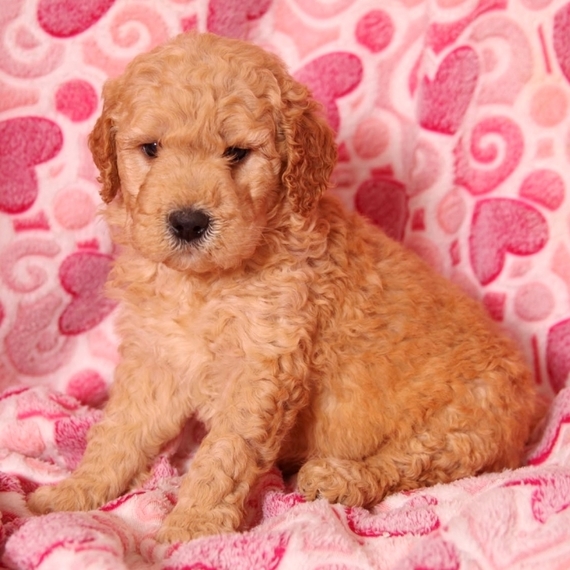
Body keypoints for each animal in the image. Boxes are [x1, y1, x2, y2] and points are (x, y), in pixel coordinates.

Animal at [28, 31, 540, 540]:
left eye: (237, 153)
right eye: (151, 148)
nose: (188, 222)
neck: (206, 282)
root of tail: (532, 396)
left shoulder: (262, 367)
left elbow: (225, 454)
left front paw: (193, 525)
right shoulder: (158, 357)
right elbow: (120, 432)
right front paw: (74, 492)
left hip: (463, 425)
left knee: (410, 464)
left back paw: (339, 478)